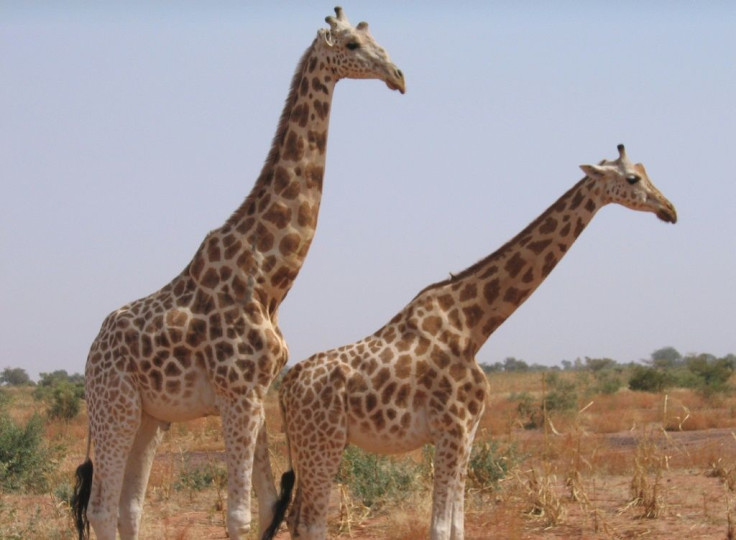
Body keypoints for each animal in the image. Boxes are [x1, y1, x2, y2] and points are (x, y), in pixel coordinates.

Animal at [72, 8, 406, 540]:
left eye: (377, 39)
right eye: (353, 45)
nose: (398, 76)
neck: (270, 278)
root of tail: (91, 350)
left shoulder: (256, 392)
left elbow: (270, 506)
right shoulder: (236, 393)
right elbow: (239, 515)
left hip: (149, 417)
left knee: (129, 506)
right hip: (112, 405)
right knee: (101, 507)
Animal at [264, 144, 680, 540]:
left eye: (645, 172)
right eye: (631, 179)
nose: (670, 209)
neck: (474, 326)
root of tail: (286, 387)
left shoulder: (468, 432)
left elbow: (459, 526)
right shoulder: (451, 429)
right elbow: (440, 528)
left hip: (308, 445)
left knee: (296, 519)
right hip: (324, 441)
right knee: (310, 522)